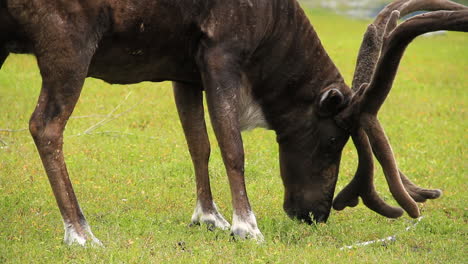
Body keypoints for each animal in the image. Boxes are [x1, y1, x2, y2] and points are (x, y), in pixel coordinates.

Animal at [0, 0, 466, 245]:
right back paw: (80, 232)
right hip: (68, 39)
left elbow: (198, 144)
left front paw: (209, 217)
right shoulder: (222, 52)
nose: (315, 214)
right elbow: (231, 146)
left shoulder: (185, 69)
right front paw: (246, 225)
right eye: (335, 140)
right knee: (45, 126)